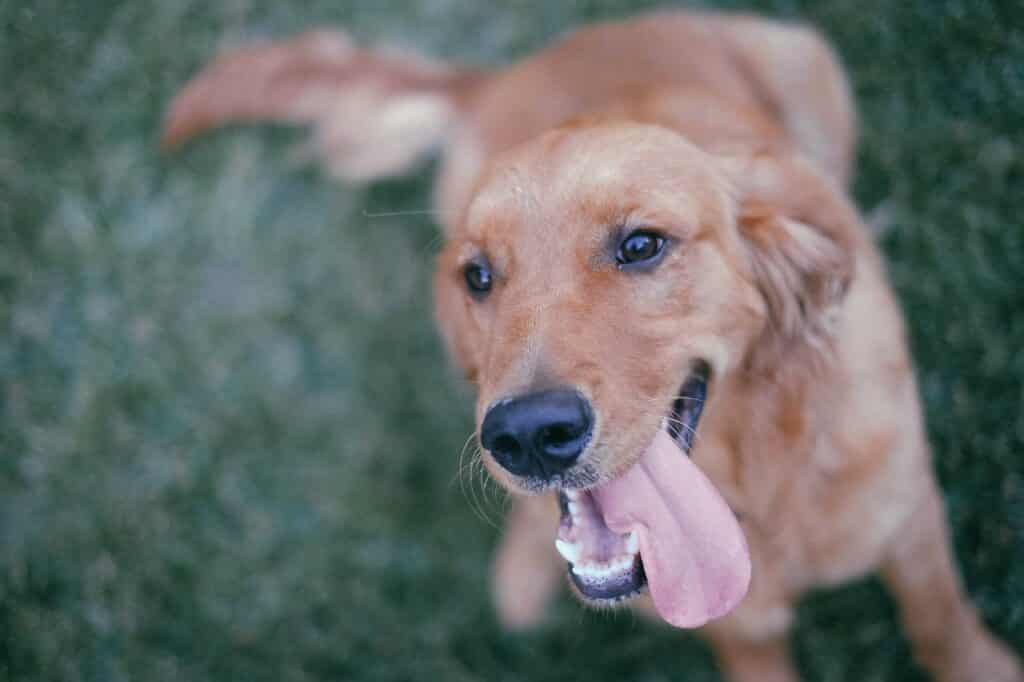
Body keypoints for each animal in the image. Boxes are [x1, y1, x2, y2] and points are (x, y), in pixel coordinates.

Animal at [161, 10, 1024, 679]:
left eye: (642, 245)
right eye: (478, 275)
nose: (527, 436)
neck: (755, 483)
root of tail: (510, 69)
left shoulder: (911, 521)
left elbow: (941, 624)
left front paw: (983, 667)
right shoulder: (735, 623)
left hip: (806, 58)